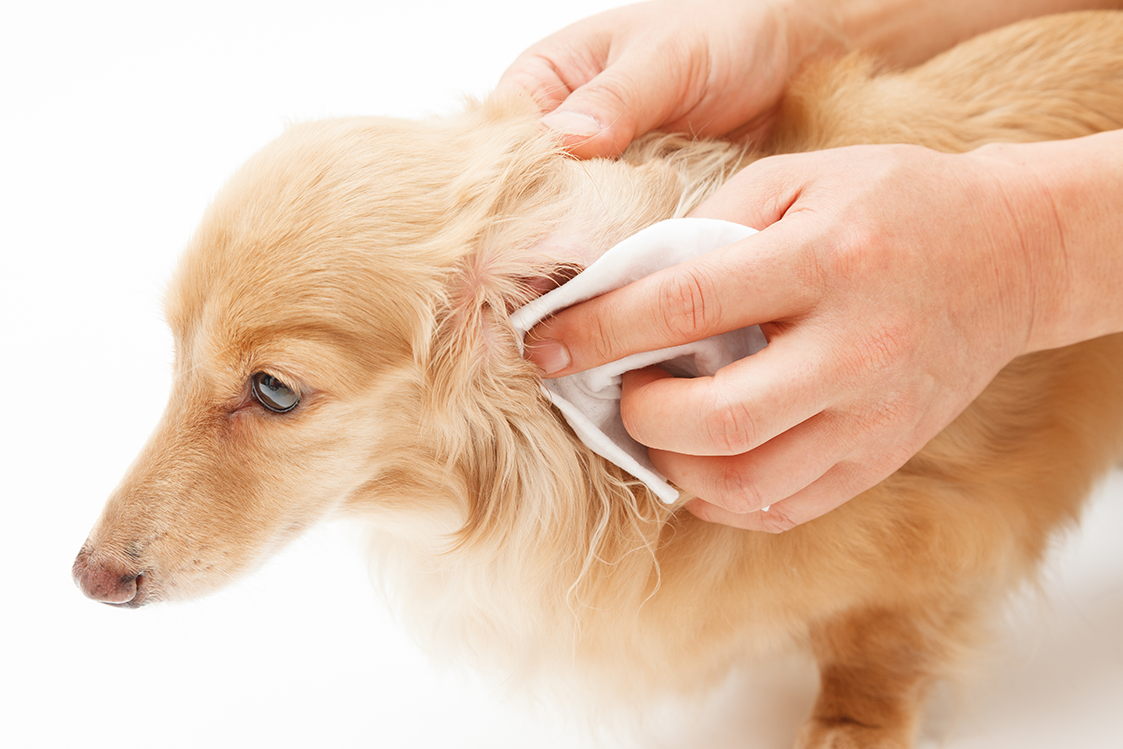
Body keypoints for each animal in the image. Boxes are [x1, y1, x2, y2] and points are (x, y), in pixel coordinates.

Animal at [72, 13, 1123, 749]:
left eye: (275, 391)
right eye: (172, 352)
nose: (90, 577)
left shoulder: (937, 543)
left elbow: (877, 649)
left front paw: (848, 725)